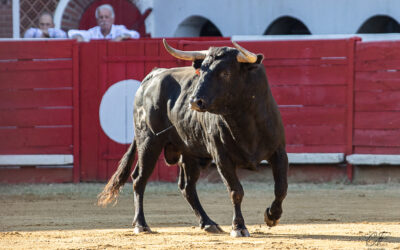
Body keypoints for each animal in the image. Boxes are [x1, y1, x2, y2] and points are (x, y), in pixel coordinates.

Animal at [98, 40, 290, 237]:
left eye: (226, 73)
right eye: (202, 71)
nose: (194, 102)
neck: (245, 120)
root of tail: (153, 75)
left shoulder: (279, 152)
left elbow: (281, 187)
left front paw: (272, 216)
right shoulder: (222, 157)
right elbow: (236, 191)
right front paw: (239, 227)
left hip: (188, 153)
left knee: (186, 186)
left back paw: (208, 223)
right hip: (148, 141)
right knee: (139, 179)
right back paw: (141, 224)